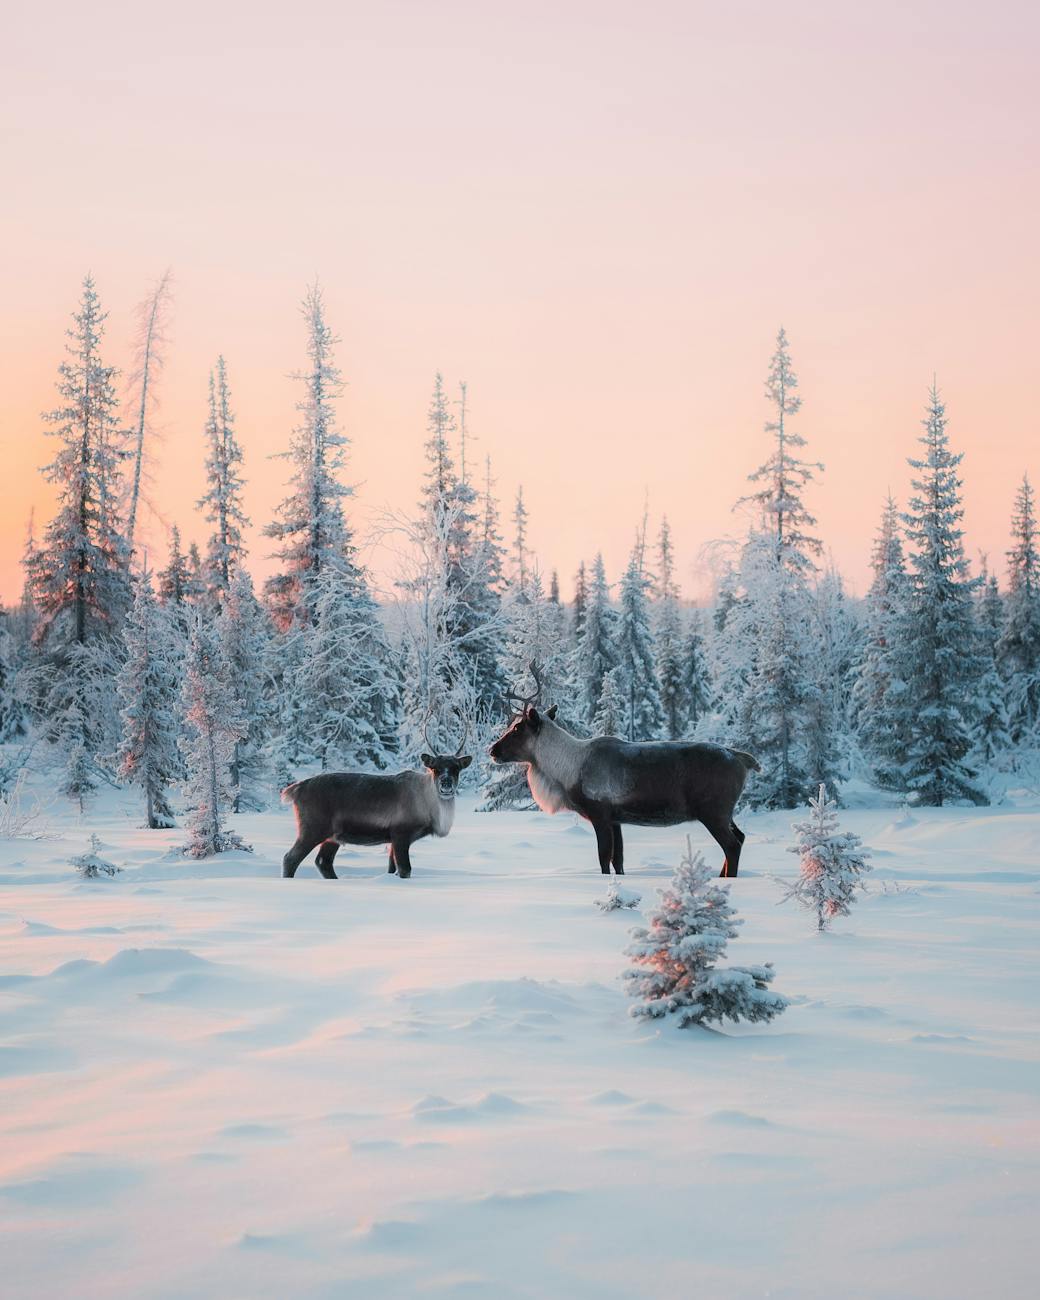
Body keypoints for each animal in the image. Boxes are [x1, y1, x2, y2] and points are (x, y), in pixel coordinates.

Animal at [279, 713, 472, 879]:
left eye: (456, 768)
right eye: (435, 768)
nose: (446, 783)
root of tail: (296, 789)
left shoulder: (394, 838)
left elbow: (392, 869)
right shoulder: (400, 832)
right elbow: (405, 869)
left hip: (333, 835)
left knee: (323, 862)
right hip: (313, 827)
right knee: (290, 858)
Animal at [488, 664, 758, 877]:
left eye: (517, 729)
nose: (492, 750)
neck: (565, 771)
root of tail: (742, 759)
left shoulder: (599, 813)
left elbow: (603, 858)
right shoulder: (617, 818)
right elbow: (618, 860)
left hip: (713, 810)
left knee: (732, 845)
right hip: (725, 812)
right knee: (741, 837)